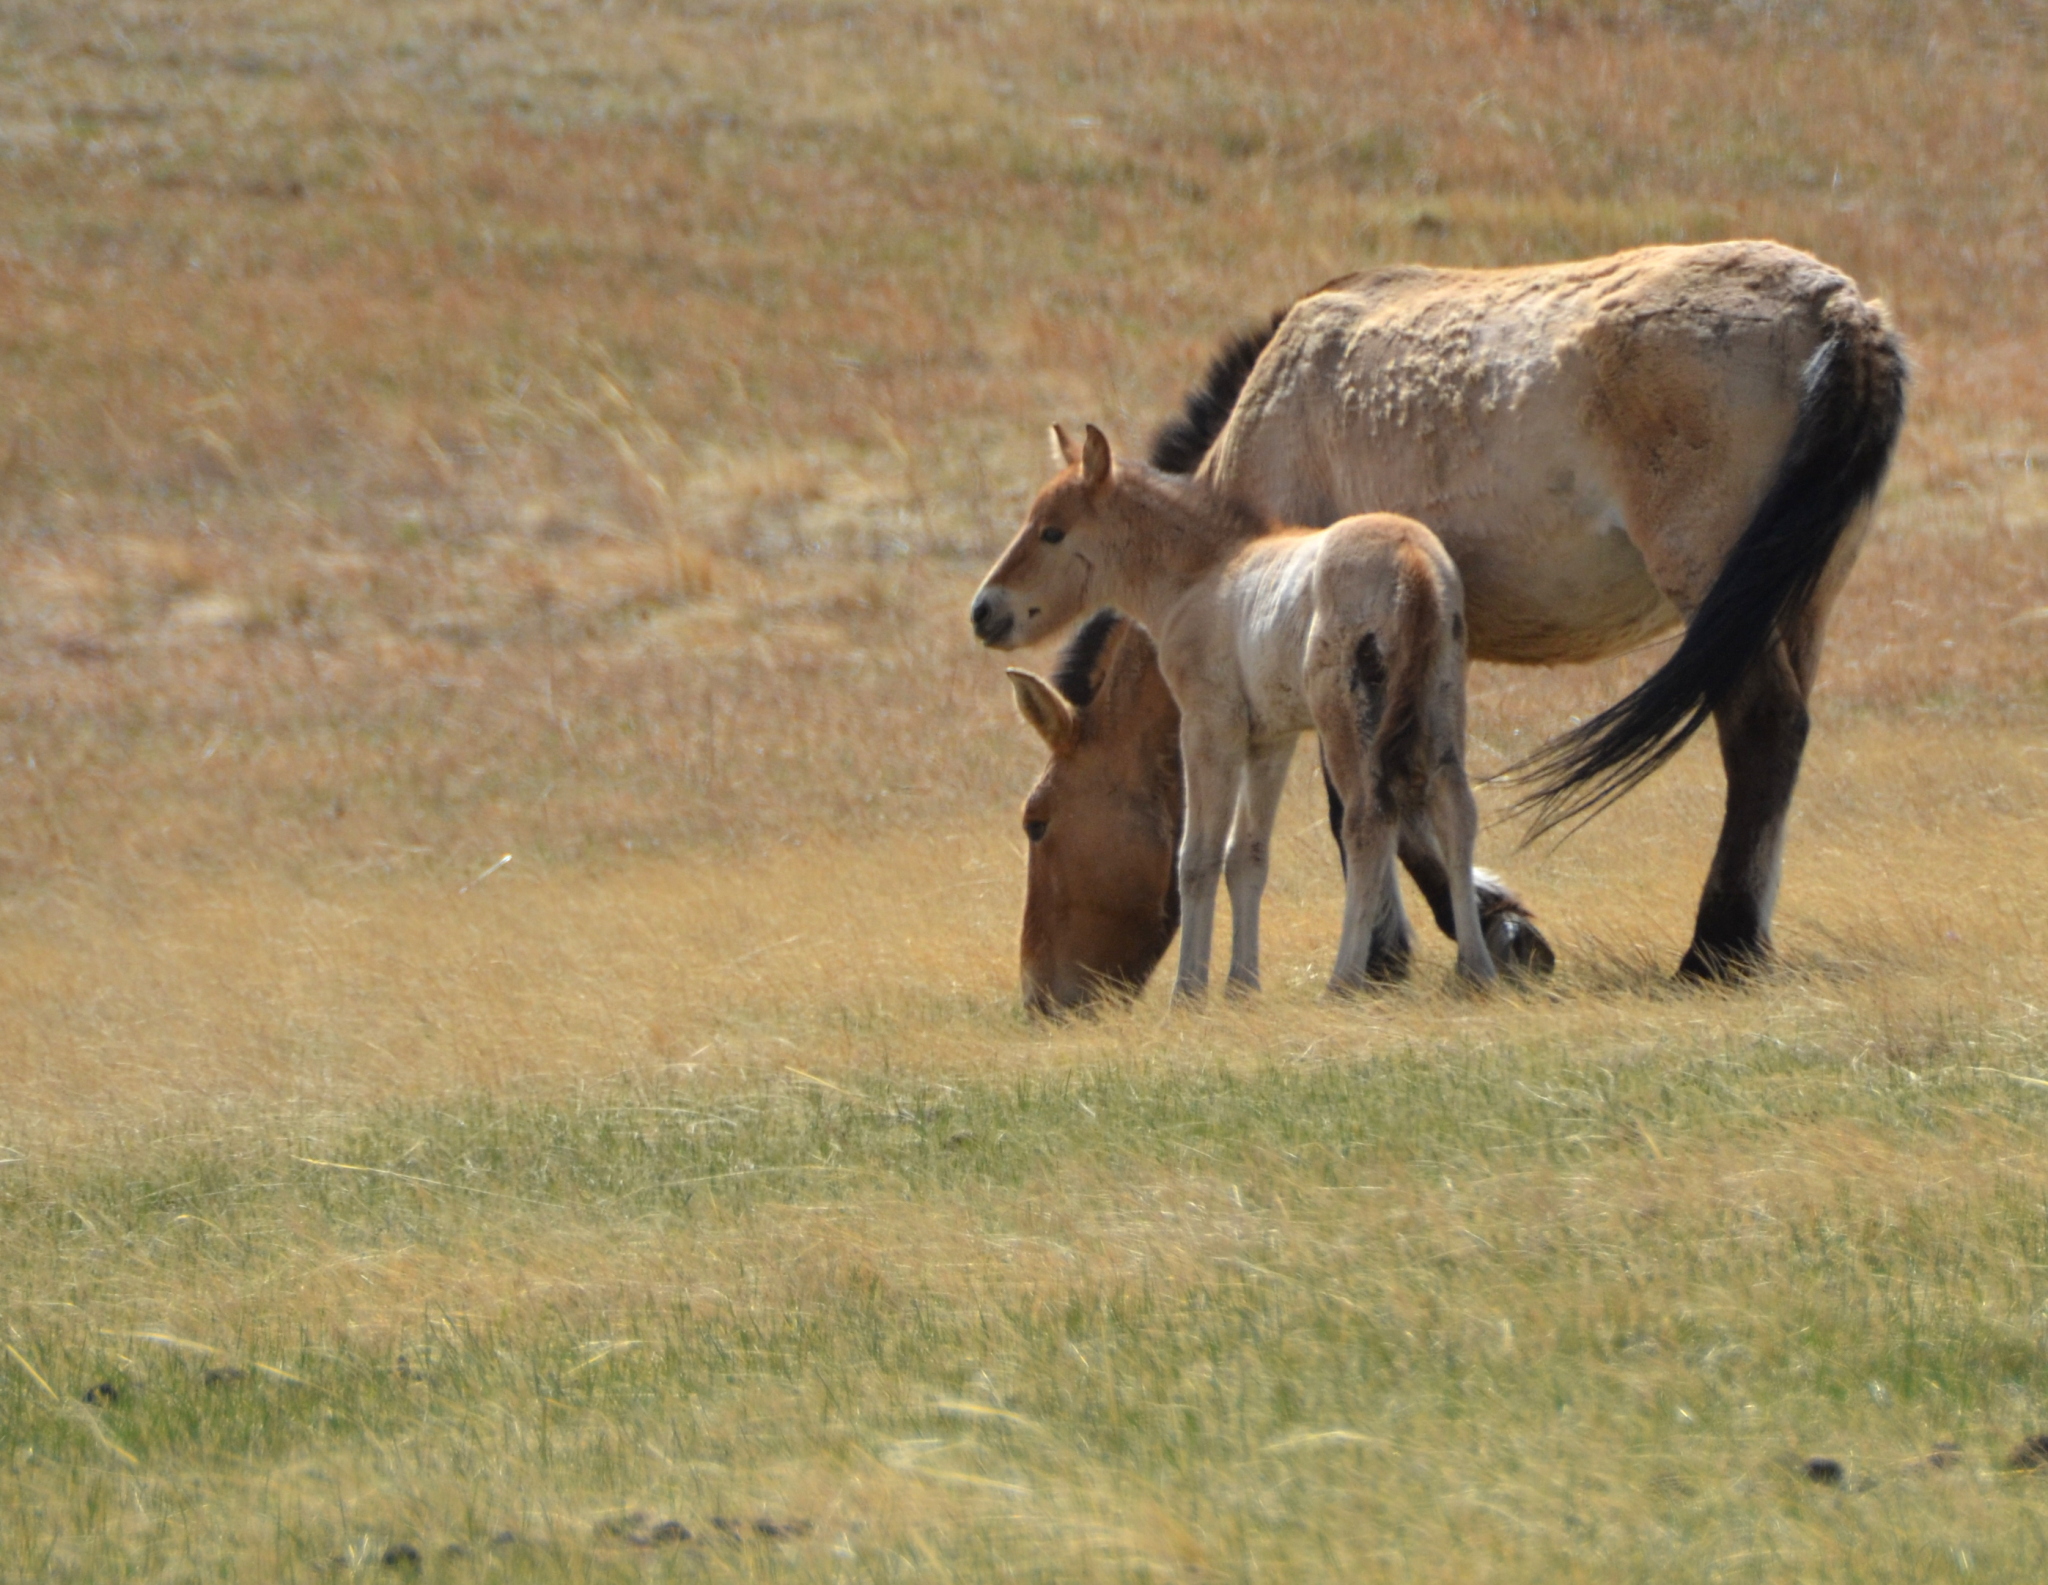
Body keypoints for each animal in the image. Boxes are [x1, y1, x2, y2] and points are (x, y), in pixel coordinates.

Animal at [983, 238, 1908, 978]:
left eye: (1037, 823)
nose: (1044, 993)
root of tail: (1839, 313)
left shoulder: (1340, 657)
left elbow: (1360, 801)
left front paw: (1418, 945)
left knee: (1759, 728)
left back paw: (1716, 949)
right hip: (1793, 601)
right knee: (1783, 743)